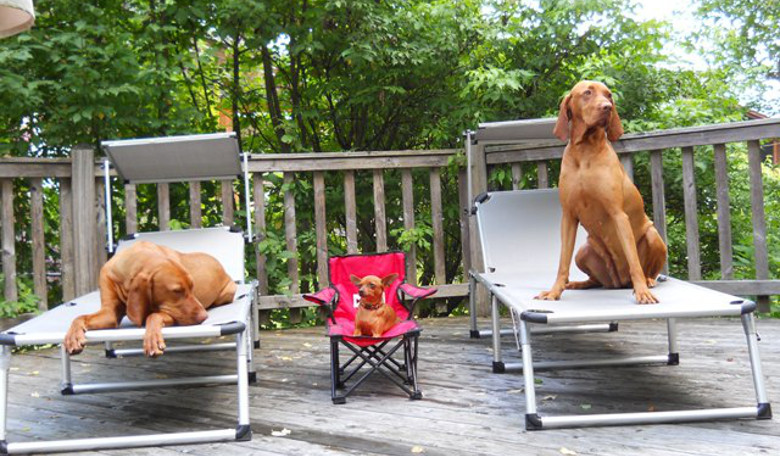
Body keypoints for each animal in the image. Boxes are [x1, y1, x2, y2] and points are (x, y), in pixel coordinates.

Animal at [64, 240, 238, 358]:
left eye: (192, 287)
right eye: (177, 291)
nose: (204, 316)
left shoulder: (171, 314)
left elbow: (153, 316)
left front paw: (152, 340)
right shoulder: (109, 313)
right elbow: (79, 317)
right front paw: (73, 336)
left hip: (227, 292)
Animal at [536, 80, 672, 304]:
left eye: (609, 95)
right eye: (587, 93)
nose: (607, 107)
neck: (585, 151)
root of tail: (618, 282)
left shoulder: (618, 214)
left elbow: (634, 260)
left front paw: (642, 292)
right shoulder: (568, 216)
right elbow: (562, 262)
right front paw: (554, 291)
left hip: (653, 236)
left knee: (647, 270)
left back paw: (648, 281)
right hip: (583, 251)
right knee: (595, 280)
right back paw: (579, 283)